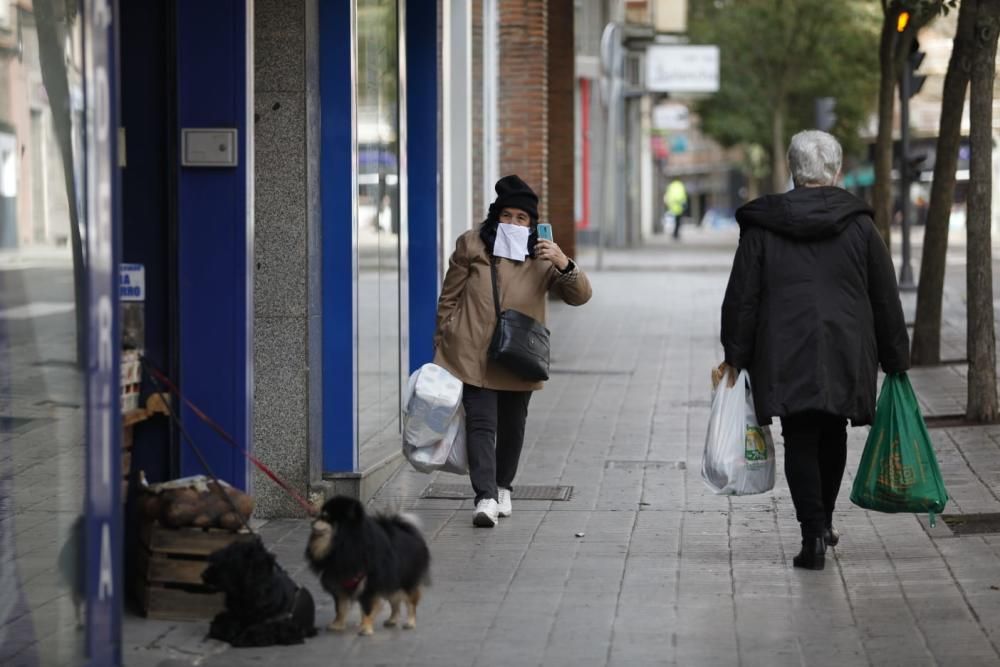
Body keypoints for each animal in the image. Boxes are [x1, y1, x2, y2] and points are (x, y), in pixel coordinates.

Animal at [304, 496, 430, 636]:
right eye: (320, 515)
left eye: (325, 517)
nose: (312, 523)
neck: (343, 545)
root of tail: (408, 531)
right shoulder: (340, 583)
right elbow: (340, 608)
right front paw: (337, 625)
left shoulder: (369, 585)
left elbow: (367, 608)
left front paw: (365, 628)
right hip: (390, 580)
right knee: (395, 601)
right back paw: (392, 620)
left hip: (405, 581)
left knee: (411, 602)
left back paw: (410, 622)